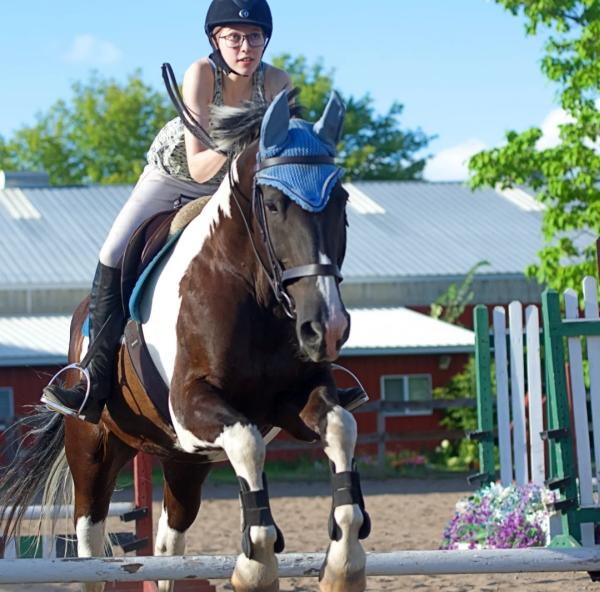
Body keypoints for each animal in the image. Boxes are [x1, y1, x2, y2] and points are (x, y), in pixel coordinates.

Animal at [0, 89, 370, 592]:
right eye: (274, 204)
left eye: (342, 200)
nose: (326, 327)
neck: (251, 287)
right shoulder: (192, 403)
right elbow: (248, 443)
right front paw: (256, 565)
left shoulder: (291, 400)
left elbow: (339, 427)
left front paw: (344, 566)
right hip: (93, 450)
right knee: (90, 547)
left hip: (182, 463)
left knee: (168, 547)